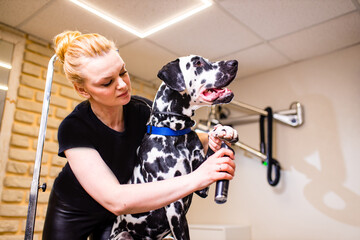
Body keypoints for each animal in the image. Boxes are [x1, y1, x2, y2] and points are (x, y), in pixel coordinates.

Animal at [109, 54, 239, 240]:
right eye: (197, 62)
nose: (234, 63)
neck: (176, 133)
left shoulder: (202, 188)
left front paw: (223, 130)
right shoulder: (174, 208)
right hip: (124, 235)